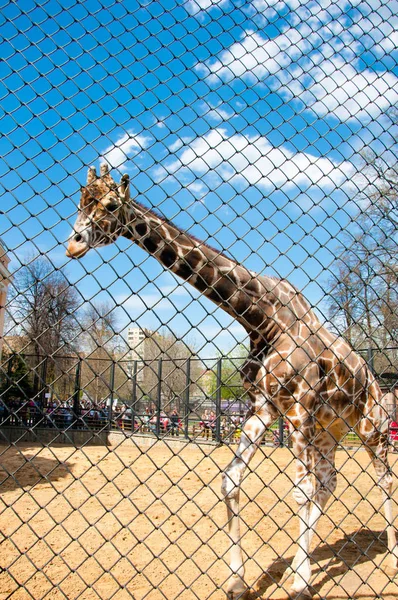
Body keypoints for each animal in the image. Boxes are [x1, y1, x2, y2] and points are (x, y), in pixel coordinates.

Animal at [67, 164, 396, 600]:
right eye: (80, 200)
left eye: (108, 204)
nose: (72, 244)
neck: (261, 317)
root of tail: (375, 379)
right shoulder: (263, 408)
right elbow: (231, 480)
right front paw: (239, 581)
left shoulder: (299, 409)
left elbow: (300, 491)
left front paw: (298, 584)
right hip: (331, 429)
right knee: (330, 482)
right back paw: (306, 563)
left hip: (369, 425)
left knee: (381, 477)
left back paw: (389, 559)